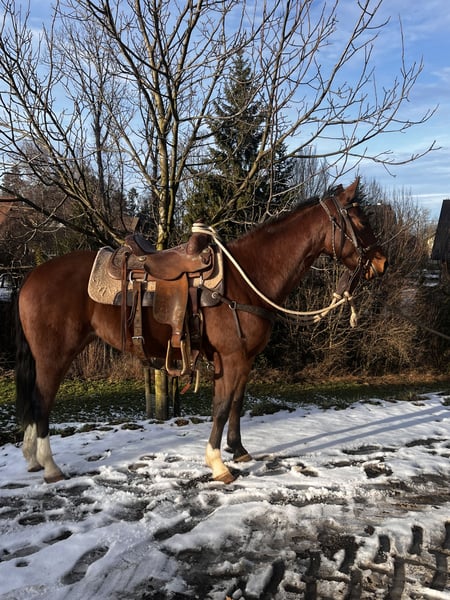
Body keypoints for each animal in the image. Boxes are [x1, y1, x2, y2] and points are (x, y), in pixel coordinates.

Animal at [15, 180, 387, 484]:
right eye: (360, 221)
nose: (382, 262)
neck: (247, 279)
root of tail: (30, 279)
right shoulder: (231, 358)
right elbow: (221, 407)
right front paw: (218, 464)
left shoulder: (244, 360)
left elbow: (236, 402)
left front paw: (239, 451)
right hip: (54, 357)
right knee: (42, 402)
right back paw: (50, 467)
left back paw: (32, 460)